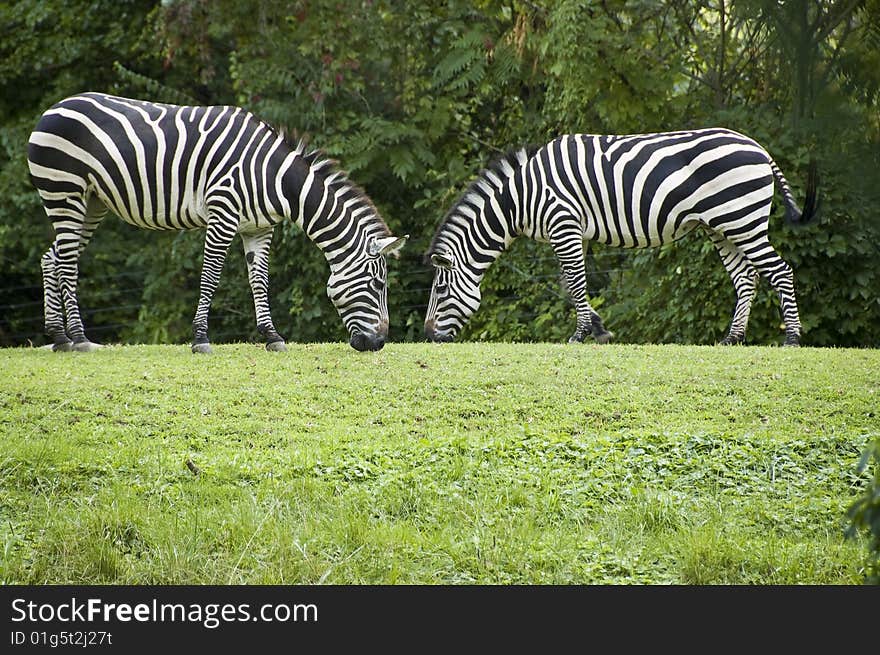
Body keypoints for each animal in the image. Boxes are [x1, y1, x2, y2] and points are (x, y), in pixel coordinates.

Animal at [26, 92, 406, 354]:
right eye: (378, 284)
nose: (379, 343)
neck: (275, 177)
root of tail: (52, 108)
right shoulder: (223, 213)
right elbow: (210, 277)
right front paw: (200, 339)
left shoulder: (258, 228)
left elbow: (259, 281)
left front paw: (272, 337)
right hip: (65, 191)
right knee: (66, 262)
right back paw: (79, 338)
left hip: (92, 202)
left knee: (53, 257)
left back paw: (59, 338)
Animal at [424, 127, 820, 348]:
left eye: (441, 290)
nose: (428, 337)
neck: (521, 199)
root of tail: (760, 149)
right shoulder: (571, 230)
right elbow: (573, 283)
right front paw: (596, 329)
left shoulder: (563, 222)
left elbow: (575, 283)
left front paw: (583, 334)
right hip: (722, 226)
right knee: (745, 278)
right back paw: (731, 339)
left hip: (742, 220)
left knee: (779, 271)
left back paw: (791, 338)